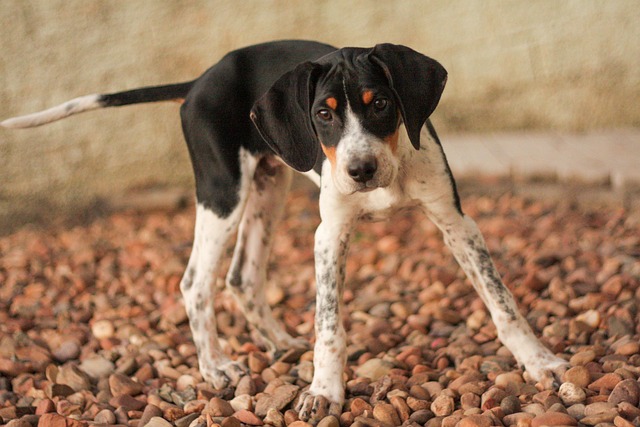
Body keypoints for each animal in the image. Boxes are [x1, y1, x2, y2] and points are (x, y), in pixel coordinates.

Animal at [1, 39, 568, 422]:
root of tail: (199, 81)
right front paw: (325, 391)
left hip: (268, 189)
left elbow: (502, 302)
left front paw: (540, 364)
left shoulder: (456, 222)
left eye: (382, 104)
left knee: (242, 276)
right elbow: (330, 326)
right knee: (196, 282)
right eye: (323, 114)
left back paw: (278, 343)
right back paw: (216, 368)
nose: (360, 171)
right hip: (223, 191)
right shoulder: (329, 235)